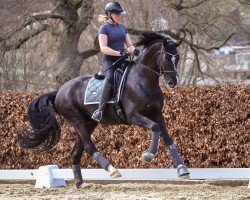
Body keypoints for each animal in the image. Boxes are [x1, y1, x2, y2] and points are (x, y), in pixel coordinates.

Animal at [18, 32, 189, 188]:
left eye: (178, 58)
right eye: (167, 58)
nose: (173, 81)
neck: (143, 80)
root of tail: (59, 91)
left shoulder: (157, 114)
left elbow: (166, 136)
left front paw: (182, 169)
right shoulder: (133, 116)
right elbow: (155, 127)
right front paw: (148, 155)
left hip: (89, 123)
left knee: (77, 151)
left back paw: (80, 183)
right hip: (77, 121)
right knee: (88, 146)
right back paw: (112, 170)